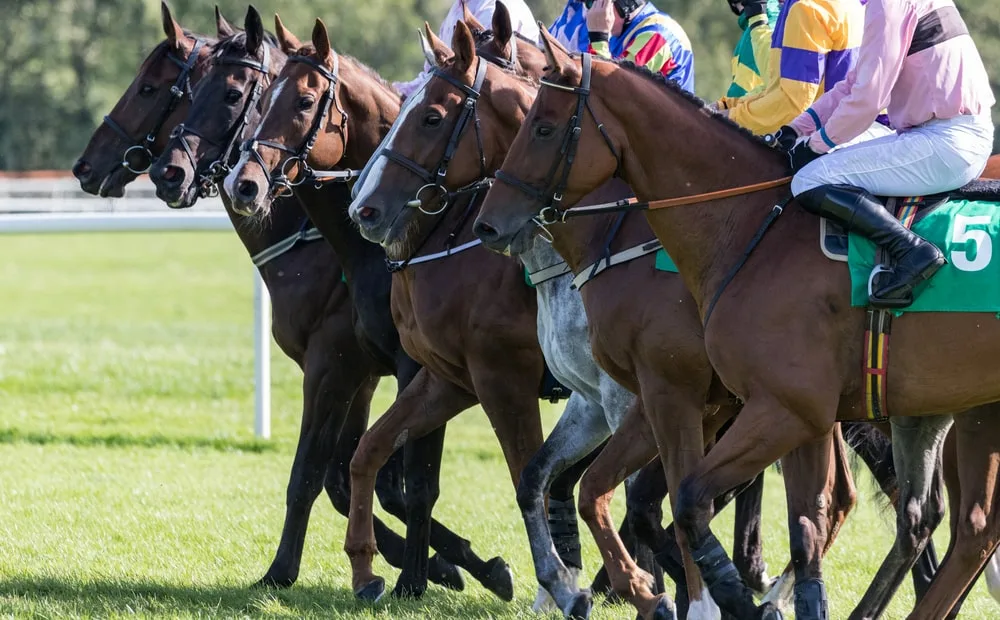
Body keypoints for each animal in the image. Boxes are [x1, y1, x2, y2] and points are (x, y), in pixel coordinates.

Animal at [74, 2, 500, 600]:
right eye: (193, 90)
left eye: (153, 87)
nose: (86, 167)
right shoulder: (357, 371)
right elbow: (343, 475)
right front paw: (444, 563)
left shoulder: (353, 364)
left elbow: (365, 476)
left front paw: (433, 569)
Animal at [472, 29, 1000, 620]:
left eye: (543, 126)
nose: (487, 224)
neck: (749, 229)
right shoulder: (766, 410)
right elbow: (789, 525)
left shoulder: (743, 404)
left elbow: (685, 498)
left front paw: (705, 596)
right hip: (949, 411)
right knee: (950, 523)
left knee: (961, 526)